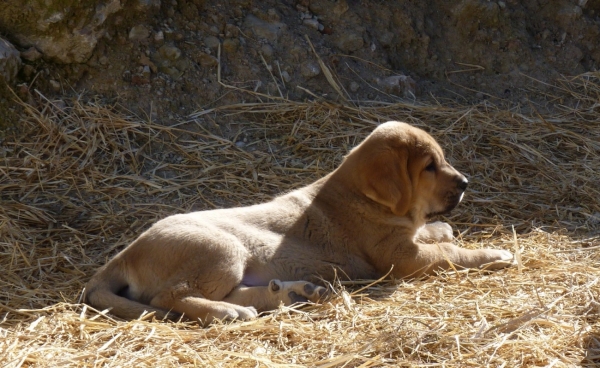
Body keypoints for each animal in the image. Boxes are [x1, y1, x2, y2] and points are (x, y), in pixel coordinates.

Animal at [84, 121, 512, 322]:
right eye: (429, 167)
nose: (465, 183)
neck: (360, 195)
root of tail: (123, 255)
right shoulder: (400, 259)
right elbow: (450, 253)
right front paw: (494, 253)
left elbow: (435, 233)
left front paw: (440, 227)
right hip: (221, 249)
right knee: (169, 298)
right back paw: (231, 313)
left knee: (242, 292)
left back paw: (295, 293)